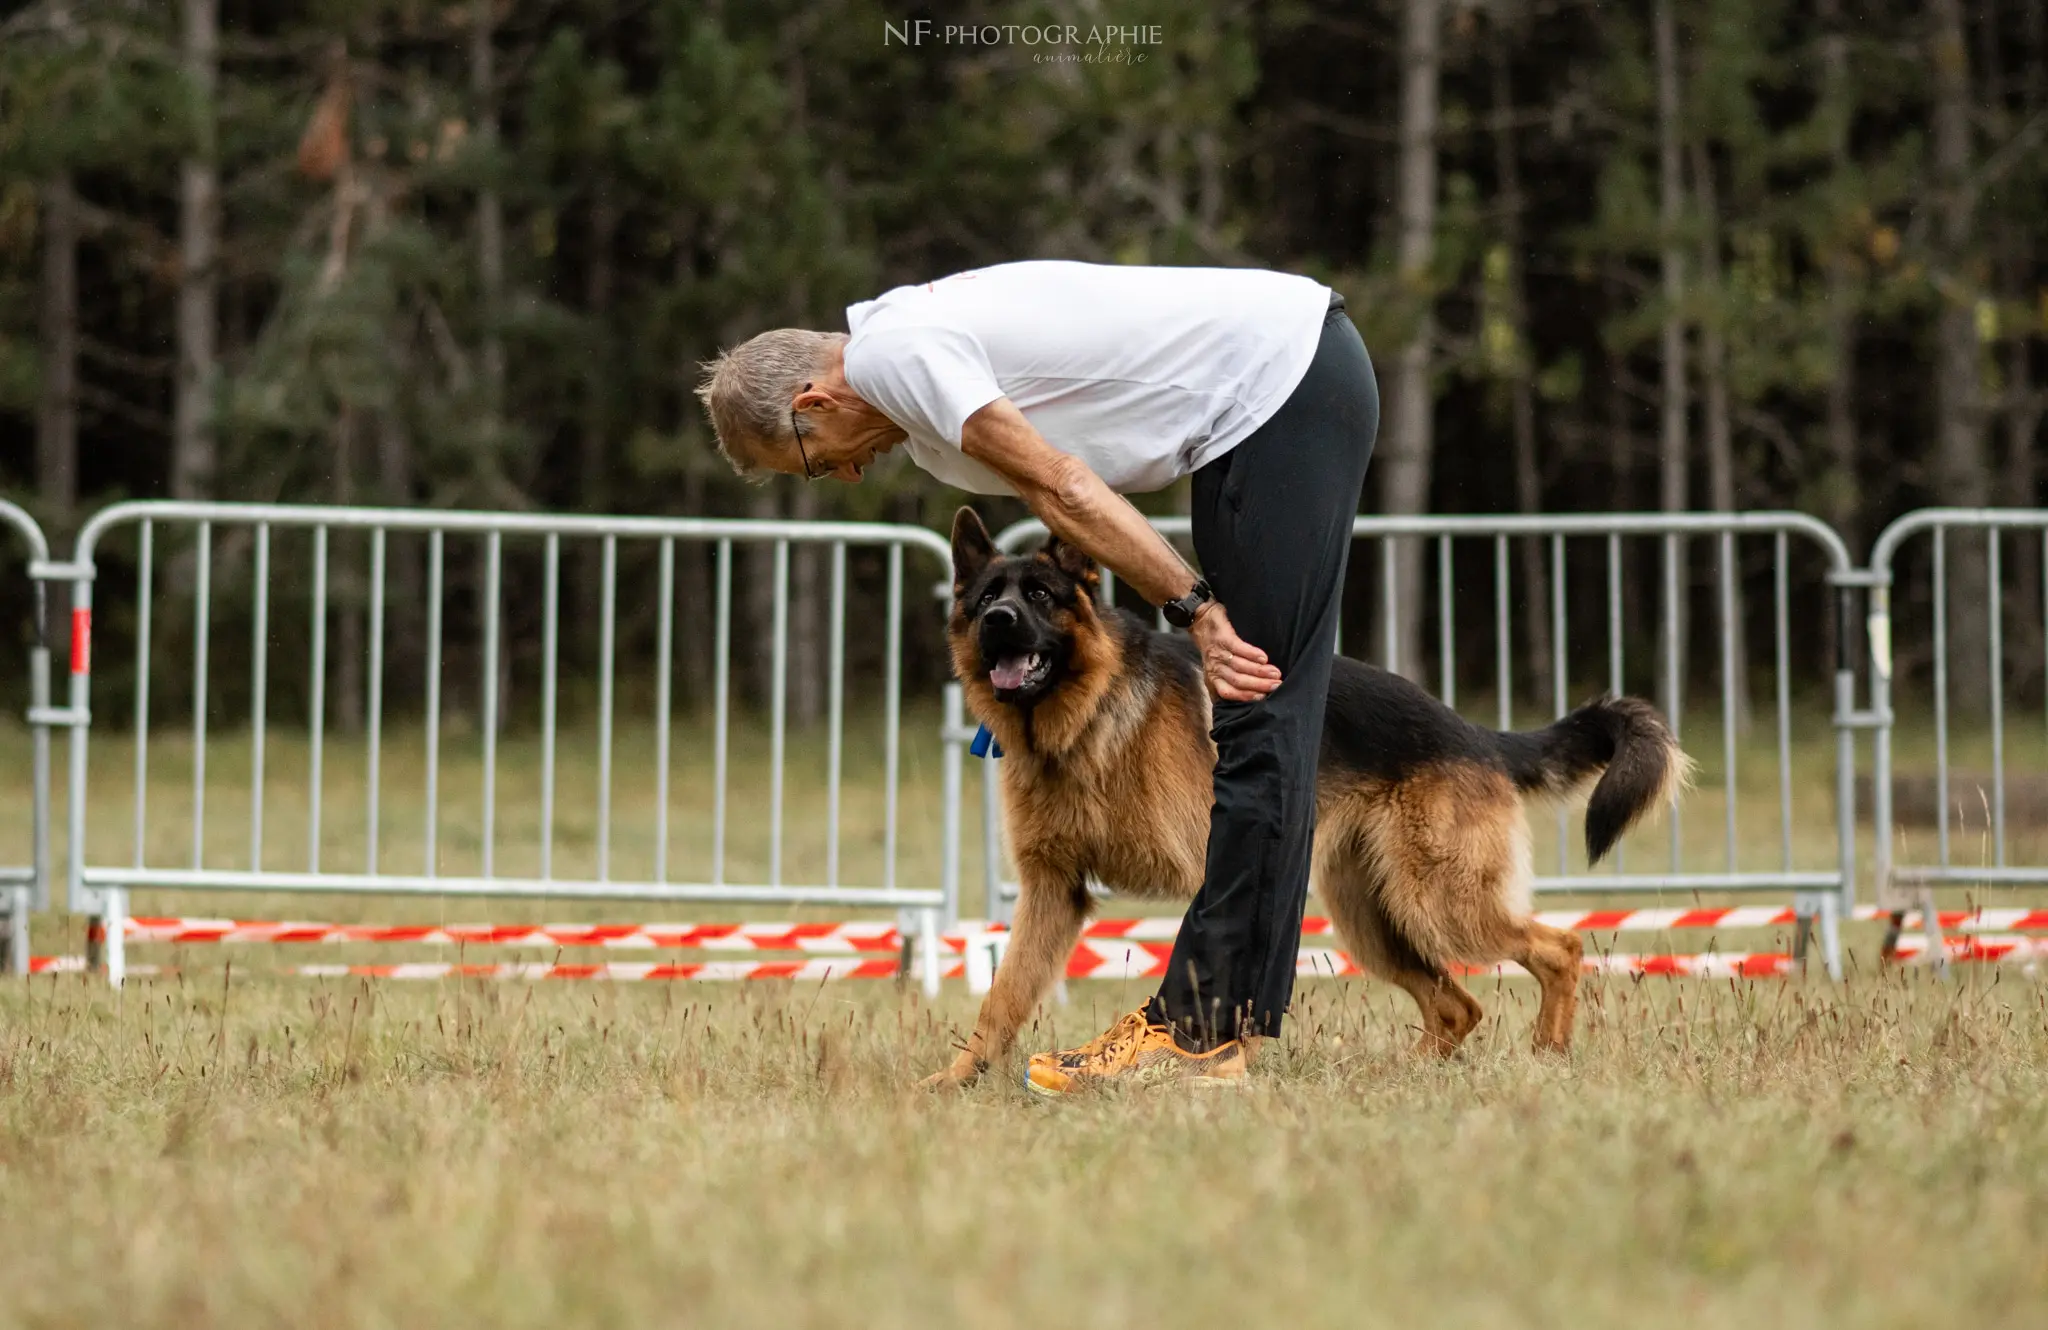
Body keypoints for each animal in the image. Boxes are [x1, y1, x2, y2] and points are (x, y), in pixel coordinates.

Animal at [933, 508, 1695, 1090]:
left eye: (1040, 596)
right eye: (987, 600)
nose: (999, 621)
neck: (1084, 722)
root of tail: (1473, 732)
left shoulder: (1213, 869)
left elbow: (1221, 966)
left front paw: (1214, 1061)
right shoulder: (1052, 894)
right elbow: (1002, 996)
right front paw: (958, 1079)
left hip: (1440, 904)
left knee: (1560, 947)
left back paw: (1547, 1053)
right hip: (1376, 920)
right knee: (1457, 1005)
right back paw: (1409, 1074)